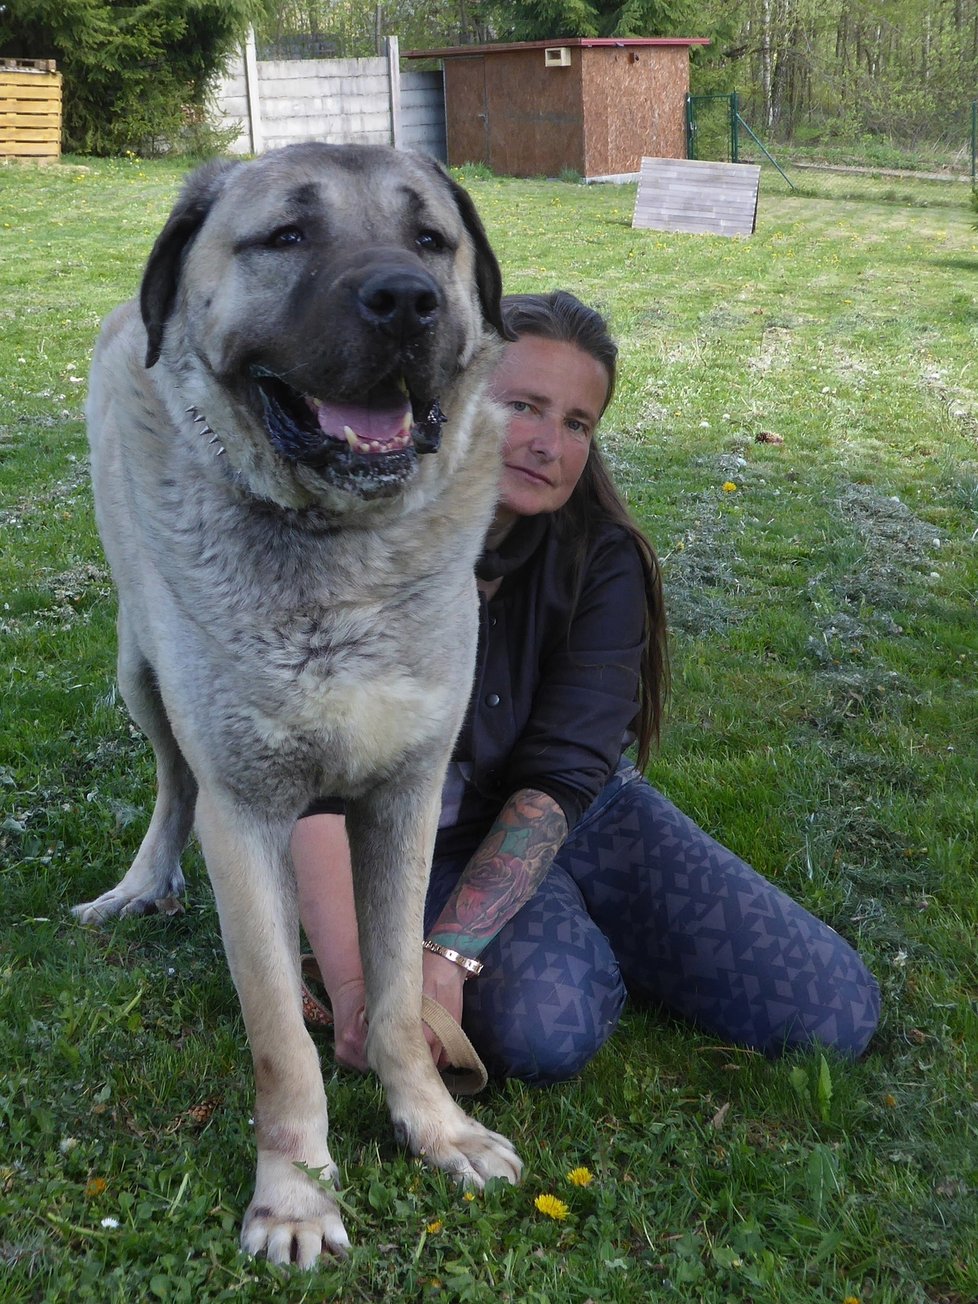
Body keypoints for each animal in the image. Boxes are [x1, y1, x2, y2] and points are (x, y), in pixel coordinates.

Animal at [72, 140, 524, 1262]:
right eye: (286, 236)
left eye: (429, 240)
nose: (405, 299)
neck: (336, 549)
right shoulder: (248, 820)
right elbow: (282, 1037)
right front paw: (295, 1195)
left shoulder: (405, 798)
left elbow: (400, 997)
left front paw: (437, 1130)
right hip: (140, 672)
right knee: (171, 782)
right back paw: (139, 884)